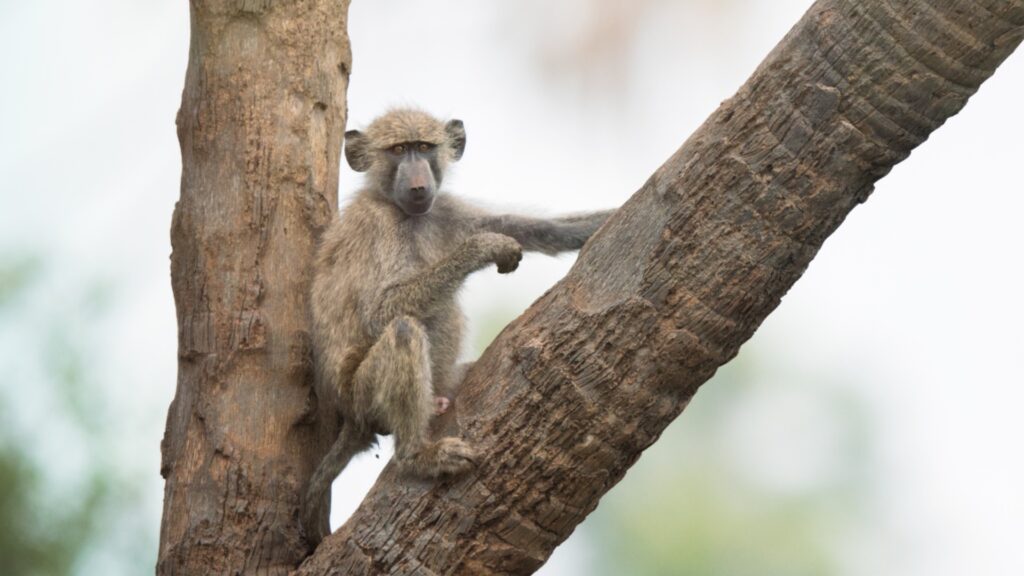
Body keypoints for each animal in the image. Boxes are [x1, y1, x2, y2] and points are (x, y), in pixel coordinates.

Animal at [301, 108, 614, 543]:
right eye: (398, 150)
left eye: (423, 147)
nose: (418, 184)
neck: (404, 212)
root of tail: (350, 416)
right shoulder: (376, 226)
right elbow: (381, 311)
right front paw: (485, 247)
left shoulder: (446, 209)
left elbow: (534, 227)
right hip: (361, 394)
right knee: (403, 331)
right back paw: (417, 457)